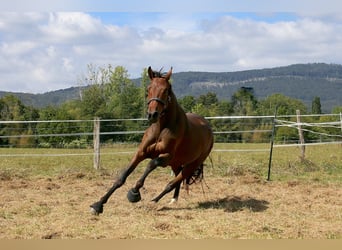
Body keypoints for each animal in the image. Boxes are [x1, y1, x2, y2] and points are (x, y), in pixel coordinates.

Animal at [89, 66, 212, 215]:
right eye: (148, 89)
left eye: (166, 90)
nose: (152, 114)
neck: (161, 129)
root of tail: (208, 127)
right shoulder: (141, 153)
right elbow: (122, 177)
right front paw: (98, 205)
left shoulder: (165, 157)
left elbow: (151, 164)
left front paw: (134, 193)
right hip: (176, 163)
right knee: (176, 179)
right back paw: (173, 200)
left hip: (191, 164)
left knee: (173, 182)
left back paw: (154, 201)